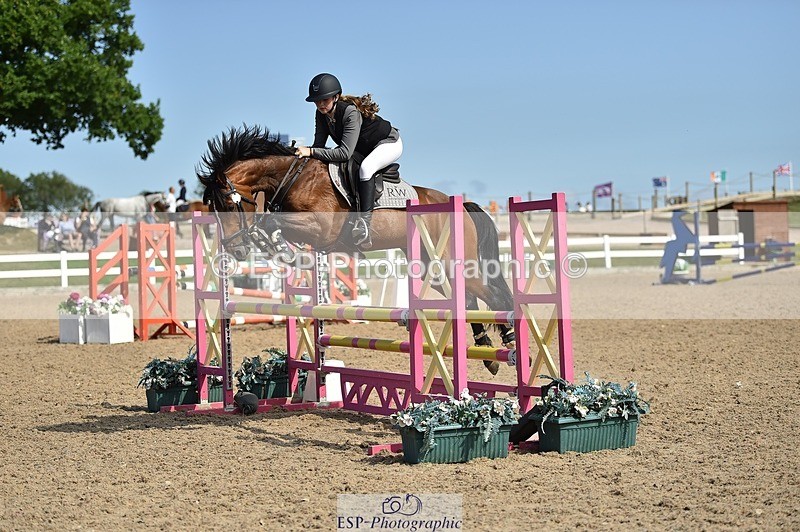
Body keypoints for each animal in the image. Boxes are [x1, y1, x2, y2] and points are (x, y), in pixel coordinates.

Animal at [196, 125, 515, 373]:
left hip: (450, 262)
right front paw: (273, 245)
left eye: (227, 206)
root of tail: (461, 203)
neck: (292, 177)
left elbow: (271, 219)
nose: (236, 250)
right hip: (432, 269)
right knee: (469, 299)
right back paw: (488, 353)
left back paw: (510, 341)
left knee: (493, 295)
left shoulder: (322, 228)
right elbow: (274, 222)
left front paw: (273, 243)